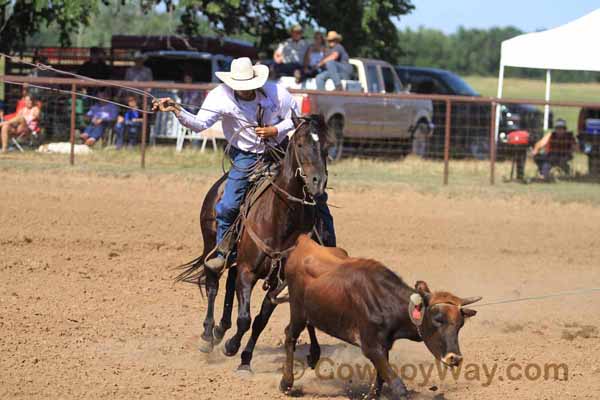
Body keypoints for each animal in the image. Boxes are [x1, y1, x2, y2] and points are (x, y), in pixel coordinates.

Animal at [176, 112, 330, 372]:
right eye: (300, 144)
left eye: (328, 146)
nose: (317, 182)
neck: (280, 218)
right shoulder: (248, 271)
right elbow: (245, 318)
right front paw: (231, 347)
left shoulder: (279, 281)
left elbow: (260, 320)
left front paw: (244, 358)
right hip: (212, 245)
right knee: (213, 283)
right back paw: (208, 336)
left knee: (229, 282)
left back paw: (220, 330)